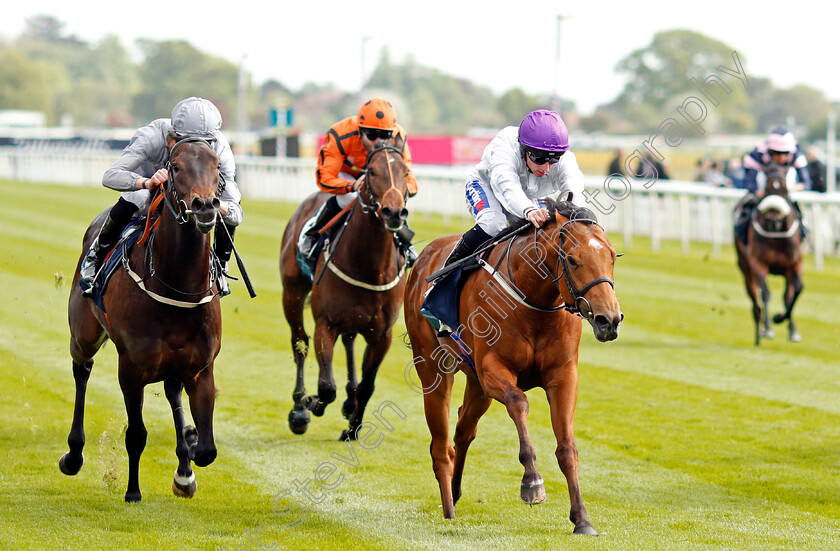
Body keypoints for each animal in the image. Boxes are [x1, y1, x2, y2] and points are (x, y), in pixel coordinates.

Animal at [61, 136, 223, 502]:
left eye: (217, 165)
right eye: (175, 167)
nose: (205, 205)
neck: (177, 287)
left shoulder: (201, 368)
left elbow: (207, 449)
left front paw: (188, 456)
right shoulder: (131, 368)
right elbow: (136, 434)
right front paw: (133, 491)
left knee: (173, 391)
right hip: (84, 334)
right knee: (81, 370)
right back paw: (73, 454)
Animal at [282, 136, 410, 442]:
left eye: (406, 172)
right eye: (372, 171)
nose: (394, 212)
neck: (369, 266)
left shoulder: (382, 334)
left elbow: (367, 385)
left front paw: (352, 428)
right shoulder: (325, 323)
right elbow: (326, 385)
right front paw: (312, 403)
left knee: (350, 342)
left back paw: (348, 401)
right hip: (291, 293)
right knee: (299, 343)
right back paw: (299, 409)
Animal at [406, 199, 624, 536]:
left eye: (612, 256)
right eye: (572, 260)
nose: (608, 320)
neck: (534, 301)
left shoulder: (563, 376)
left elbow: (567, 447)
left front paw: (582, 519)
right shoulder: (493, 369)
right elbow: (518, 402)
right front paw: (532, 482)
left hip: (476, 384)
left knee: (463, 430)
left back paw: (455, 492)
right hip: (433, 369)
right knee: (440, 446)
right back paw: (448, 511)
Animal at [732, 170, 804, 348]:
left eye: (784, 189)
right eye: (766, 189)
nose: (773, 220)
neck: (776, 237)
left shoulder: (794, 265)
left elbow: (795, 291)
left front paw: (783, 321)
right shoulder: (759, 265)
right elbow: (765, 294)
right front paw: (767, 329)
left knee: (787, 295)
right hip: (745, 268)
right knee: (755, 301)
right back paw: (758, 333)